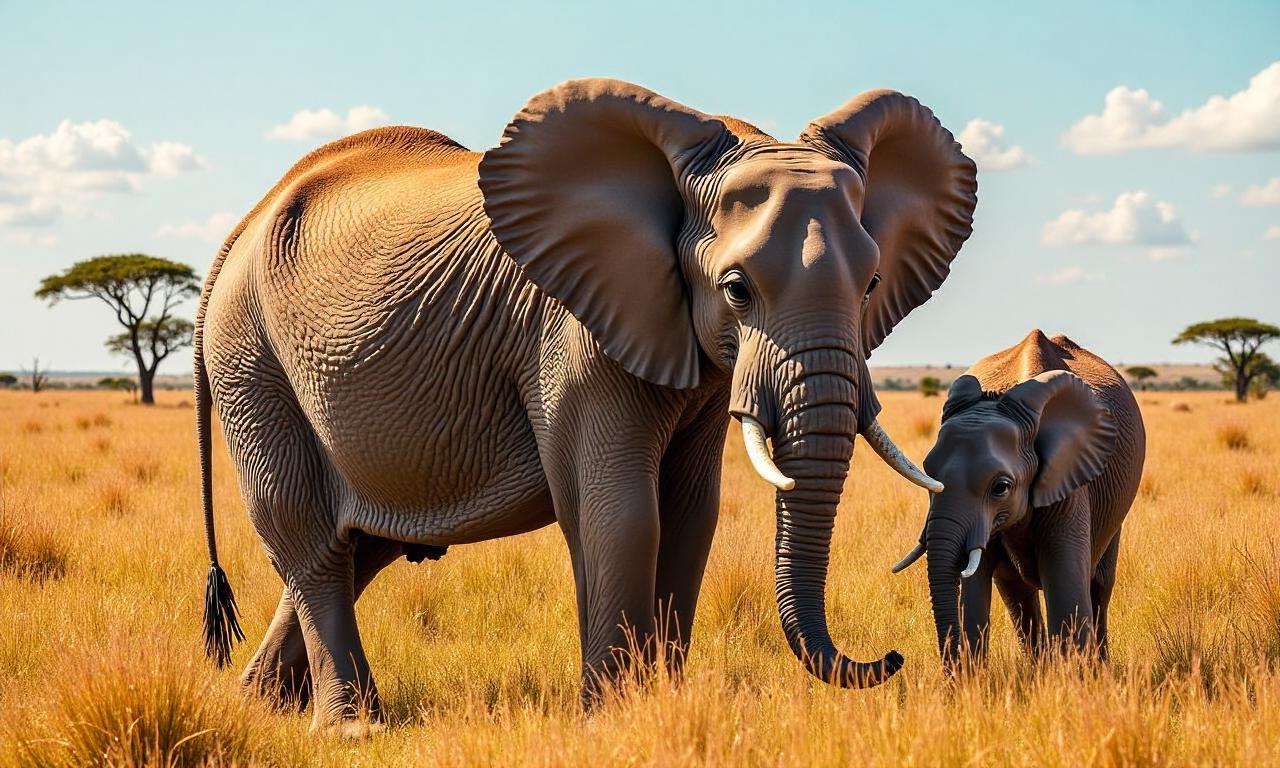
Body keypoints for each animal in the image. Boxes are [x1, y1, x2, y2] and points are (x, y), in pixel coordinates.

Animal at [194, 78, 977, 734]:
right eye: (736, 289)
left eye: (872, 284)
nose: (892, 658)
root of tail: (238, 230)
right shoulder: (571, 333)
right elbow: (622, 513)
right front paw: (613, 721)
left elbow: (690, 515)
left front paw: (660, 704)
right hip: (250, 360)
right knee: (309, 541)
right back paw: (352, 728)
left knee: (360, 543)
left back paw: (259, 705)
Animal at [892, 330, 1145, 664]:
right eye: (928, 474)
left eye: (1001, 487)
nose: (896, 658)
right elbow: (974, 596)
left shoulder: (1068, 482)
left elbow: (1067, 593)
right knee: (1016, 593)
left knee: (1099, 585)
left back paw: (1098, 667)